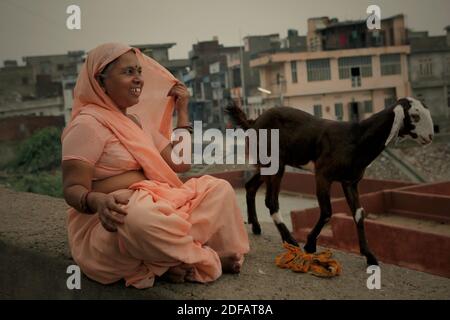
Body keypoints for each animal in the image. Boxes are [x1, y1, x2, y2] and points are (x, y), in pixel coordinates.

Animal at [227, 97, 434, 264]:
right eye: (415, 115)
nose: (431, 136)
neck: (356, 138)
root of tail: (253, 122)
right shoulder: (323, 175)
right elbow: (327, 211)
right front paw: (310, 244)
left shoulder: (350, 181)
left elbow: (359, 213)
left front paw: (369, 255)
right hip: (274, 163)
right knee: (271, 201)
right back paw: (290, 240)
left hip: (268, 165)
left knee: (251, 186)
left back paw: (256, 226)